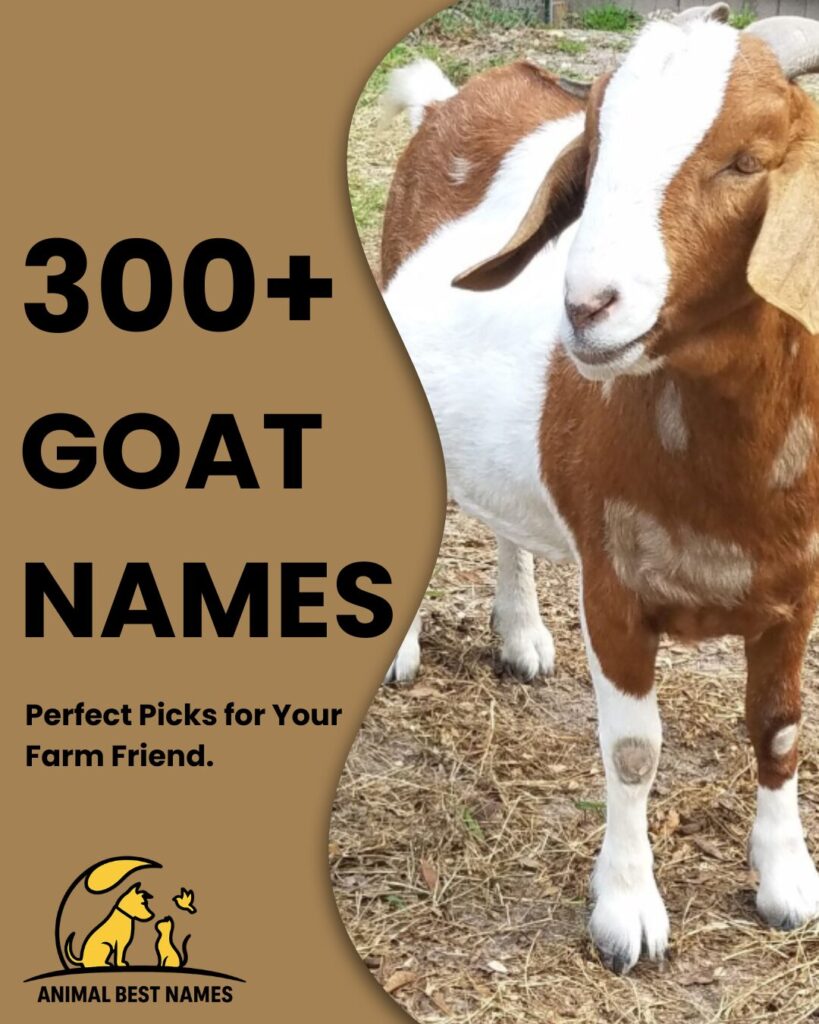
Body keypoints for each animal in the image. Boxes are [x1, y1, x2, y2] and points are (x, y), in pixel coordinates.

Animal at [378, 5, 819, 973]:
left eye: (746, 160)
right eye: (594, 158)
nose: (585, 307)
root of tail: (447, 99)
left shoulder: (797, 591)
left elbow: (778, 728)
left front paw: (787, 882)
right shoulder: (614, 588)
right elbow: (631, 752)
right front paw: (626, 913)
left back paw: (520, 636)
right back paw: (401, 650)